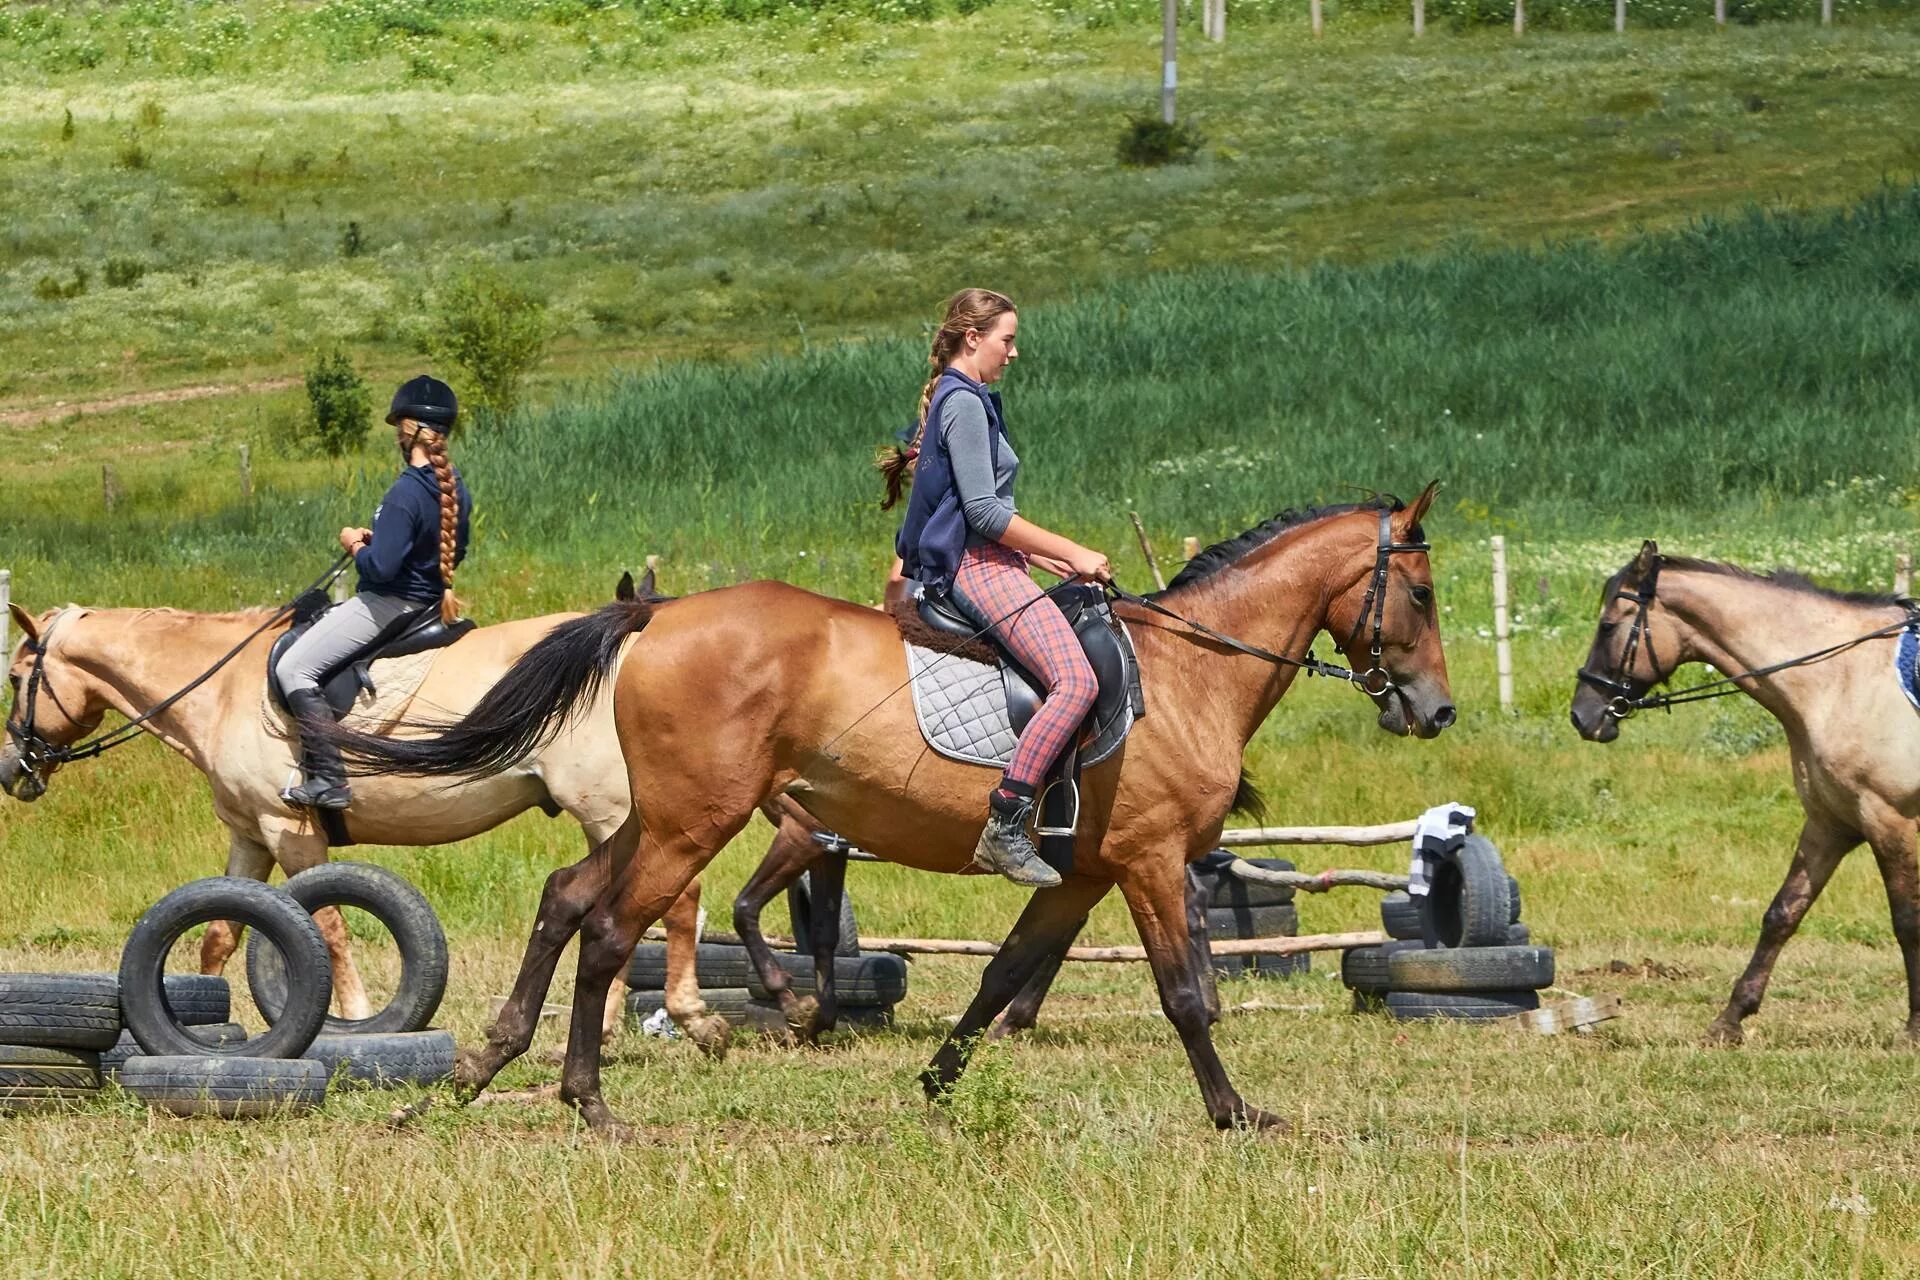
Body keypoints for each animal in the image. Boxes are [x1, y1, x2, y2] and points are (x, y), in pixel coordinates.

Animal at [1, 602, 721, 1051]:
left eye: (13, 677)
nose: (12, 769)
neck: (225, 689)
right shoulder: (250, 837)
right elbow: (220, 937)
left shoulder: (290, 830)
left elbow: (329, 931)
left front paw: (353, 1018)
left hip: (610, 809)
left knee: (672, 900)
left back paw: (683, 1017)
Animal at [326, 491, 1451, 1128]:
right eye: (1425, 593)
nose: (1436, 710)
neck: (1192, 671)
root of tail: (657, 611)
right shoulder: (1147, 859)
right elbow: (1186, 996)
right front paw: (1234, 1111)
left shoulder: (1081, 873)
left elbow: (1002, 975)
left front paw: (937, 1085)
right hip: (699, 822)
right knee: (608, 928)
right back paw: (590, 1100)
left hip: (663, 814)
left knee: (565, 897)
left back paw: (480, 1069)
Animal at [1574, 545, 1920, 1043]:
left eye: (1607, 626)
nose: (1581, 716)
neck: (1840, 679)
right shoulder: (1830, 822)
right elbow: (1782, 914)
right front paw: (1730, 1020)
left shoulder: (1890, 819)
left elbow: (1907, 921)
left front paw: (1914, 1028)